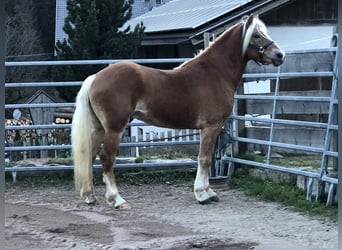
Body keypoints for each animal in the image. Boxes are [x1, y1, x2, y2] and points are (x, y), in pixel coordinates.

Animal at [72, 14, 286, 208]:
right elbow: (204, 159)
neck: (215, 73)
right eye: (257, 35)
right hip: (115, 128)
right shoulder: (211, 127)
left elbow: (206, 159)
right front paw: (203, 194)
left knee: (90, 155)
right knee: (106, 157)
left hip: (99, 128)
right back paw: (116, 199)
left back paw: (90, 197)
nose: (280, 55)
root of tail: (96, 77)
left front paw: (208, 192)